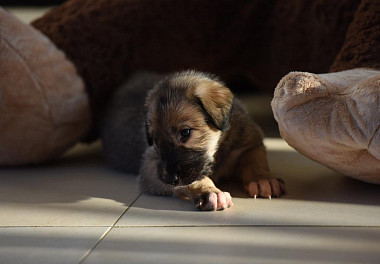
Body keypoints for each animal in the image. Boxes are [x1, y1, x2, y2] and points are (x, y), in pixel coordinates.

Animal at [137, 71, 284, 211]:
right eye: (154, 141)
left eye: (185, 132)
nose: (168, 179)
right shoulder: (150, 167)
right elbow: (192, 180)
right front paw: (208, 192)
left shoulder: (251, 142)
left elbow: (254, 161)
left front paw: (262, 179)